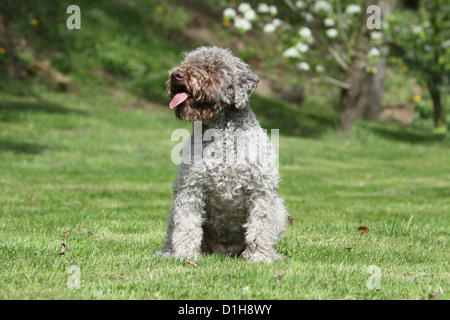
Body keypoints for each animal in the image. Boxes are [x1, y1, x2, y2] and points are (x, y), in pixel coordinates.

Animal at [156, 47, 286, 262]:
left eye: (210, 70)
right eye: (186, 62)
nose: (176, 75)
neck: (221, 137)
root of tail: (224, 252)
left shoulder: (261, 191)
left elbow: (260, 227)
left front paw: (258, 257)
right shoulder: (190, 189)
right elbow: (187, 226)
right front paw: (186, 255)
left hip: (280, 209)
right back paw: (167, 252)